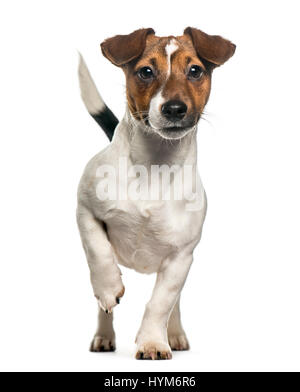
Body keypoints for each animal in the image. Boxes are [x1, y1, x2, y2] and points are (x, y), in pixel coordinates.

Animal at [77, 26, 234, 360]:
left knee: (174, 303)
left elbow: (161, 303)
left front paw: (152, 342)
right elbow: (98, 253)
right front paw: (109, 287)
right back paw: (103, 335)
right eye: (146, 71)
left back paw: (173, 334)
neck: (155, 165)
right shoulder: (85, 210)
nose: (174, 108)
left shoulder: (181, 257)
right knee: (103, 307)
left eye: (195, 71)